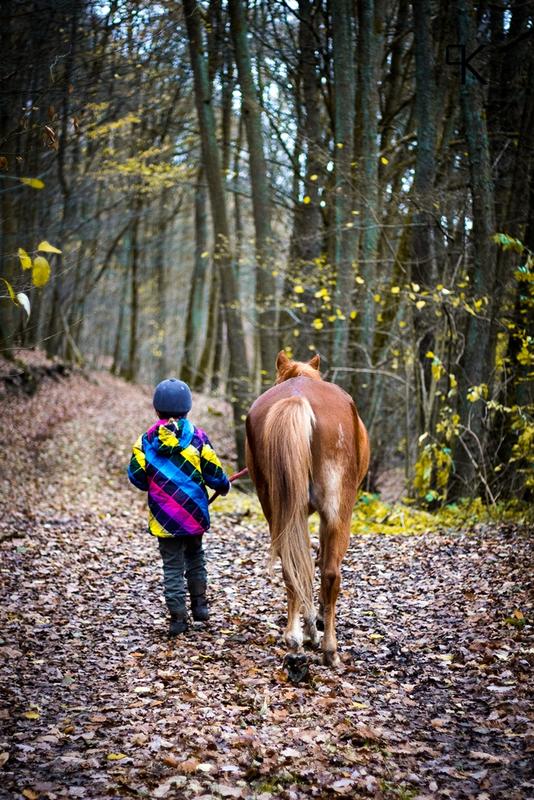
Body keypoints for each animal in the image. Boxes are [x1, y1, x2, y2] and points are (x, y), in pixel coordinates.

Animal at [246, 352, 368, 668]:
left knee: (291, 566)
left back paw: (294, 639)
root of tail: (297, 398)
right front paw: (318, 627)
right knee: (330, 572)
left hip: (277, 508)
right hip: (338, 511)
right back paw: (328, 648)